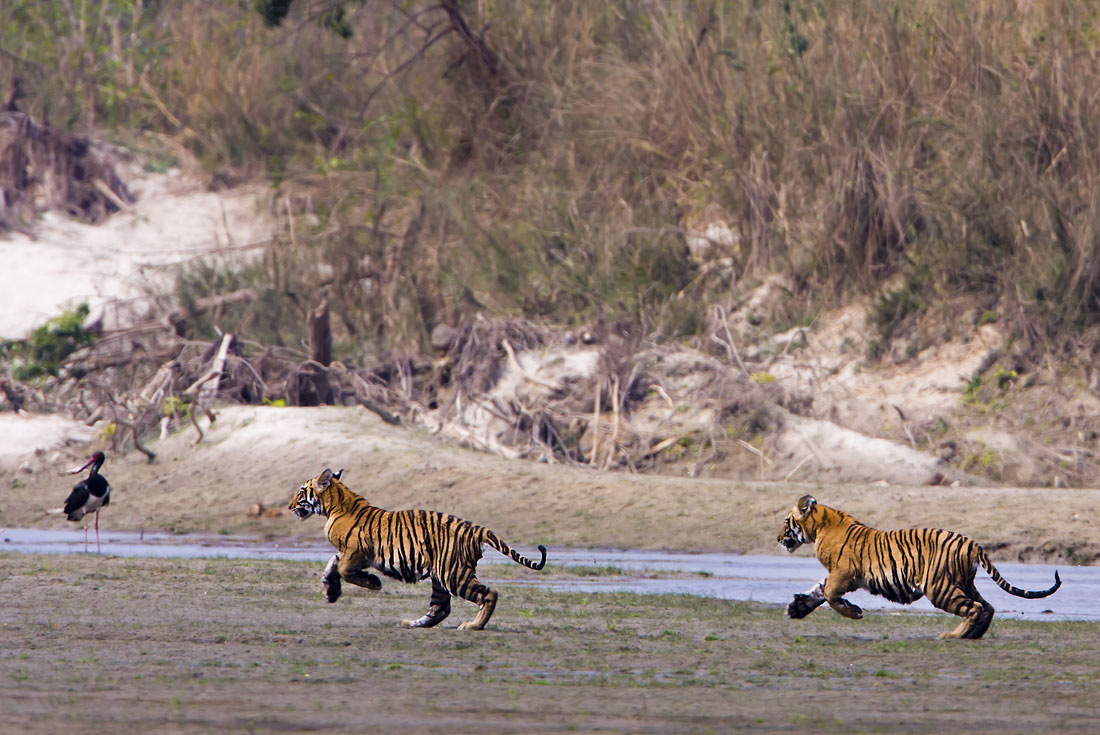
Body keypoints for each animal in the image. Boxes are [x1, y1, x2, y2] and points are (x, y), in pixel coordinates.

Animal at [288, 468, 545, 629]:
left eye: (301, 492)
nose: (289, 507)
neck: (335, 505)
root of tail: (476, 528)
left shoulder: (355, 552)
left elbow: (342, 569)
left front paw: (373, 583)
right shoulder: (348, 553)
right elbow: (332, 564)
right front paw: (330, 591)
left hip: (453, 574)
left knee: (489, 594)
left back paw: (473, 626)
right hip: (441, 576)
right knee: (440, 608)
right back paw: (412, 624)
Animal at [778, 497, 1060, 638]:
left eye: (786, 522)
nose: (778, 538)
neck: (820, 526)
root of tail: (971, 542)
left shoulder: (844, 573)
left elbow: (828, 594)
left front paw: (853, 612)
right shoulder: (838, 575)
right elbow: (819, 591)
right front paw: (796, 608)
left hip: (939, 587)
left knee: (975, 608)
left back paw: (953, 636)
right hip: (962, 582)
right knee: (988, 607)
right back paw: (972, 635)